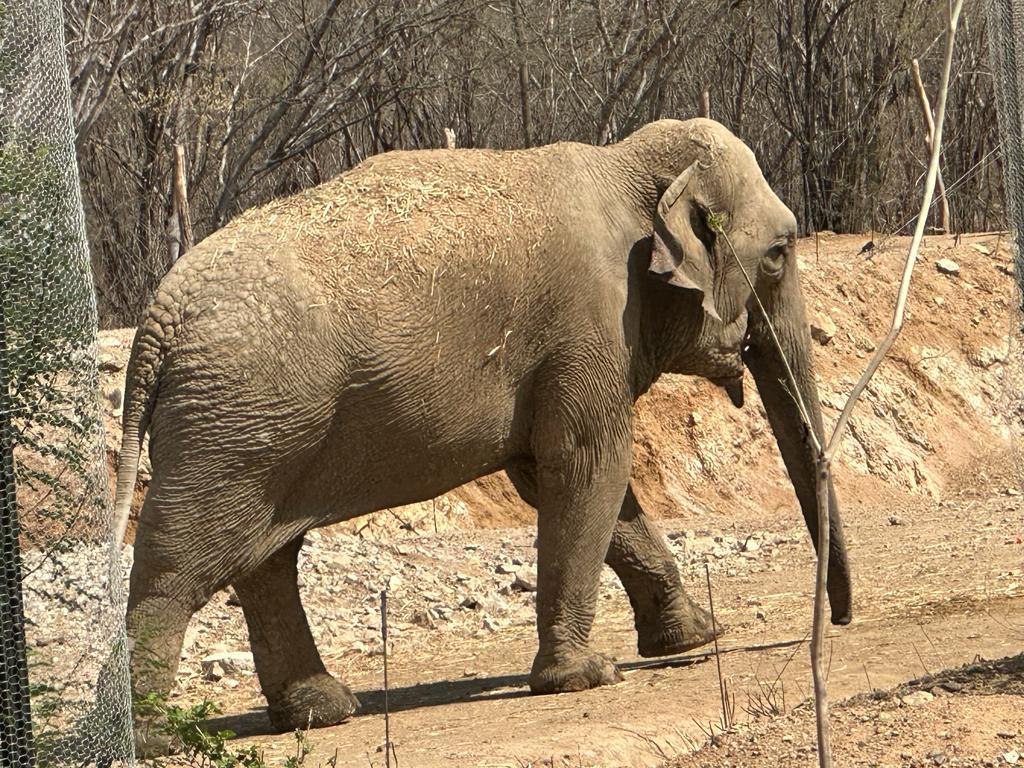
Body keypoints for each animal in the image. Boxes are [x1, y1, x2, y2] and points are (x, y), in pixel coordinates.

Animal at [112, 117, 851, 753]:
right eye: (780, 254)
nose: (841, 621)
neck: (626, 164)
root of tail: (158, 320)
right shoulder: (589, 323)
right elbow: (589, 468)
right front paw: (587, 677)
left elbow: (564, 481)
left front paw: (694, 637)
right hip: (232, 423)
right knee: (181, 564)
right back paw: (152, 738)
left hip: (257, 424)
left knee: (266, 559)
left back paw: (323, 712)